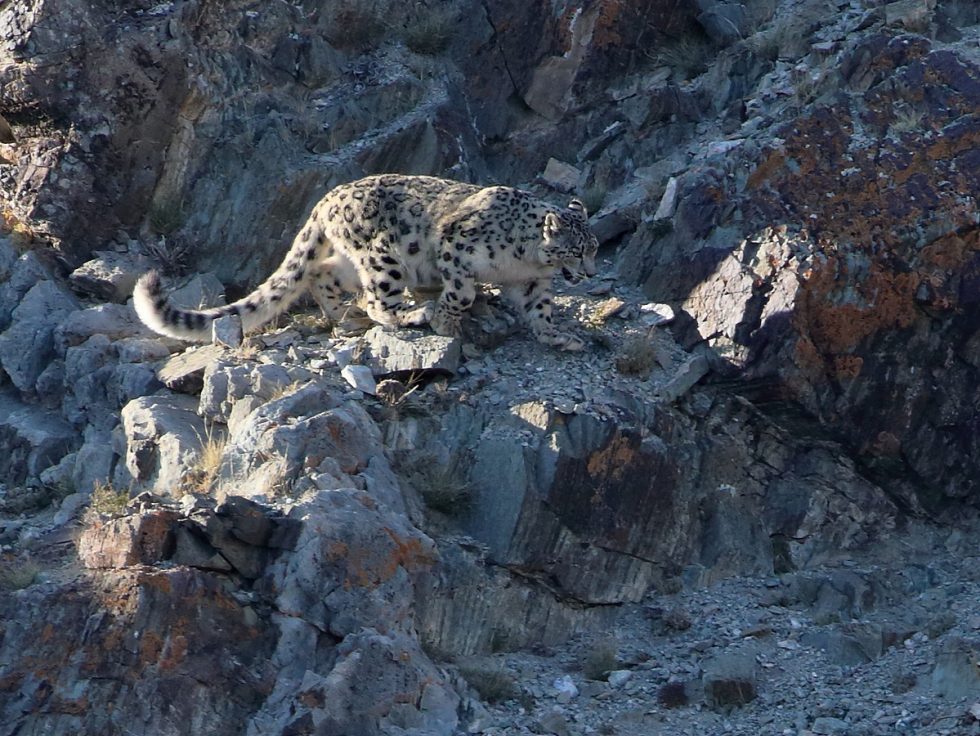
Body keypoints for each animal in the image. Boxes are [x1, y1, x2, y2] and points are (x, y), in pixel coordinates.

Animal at [133, 173, 599, 351]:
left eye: (595, 248)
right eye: (578, 250)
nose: (590, 273)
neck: (526, 262)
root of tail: (326, 199)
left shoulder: (530, 282)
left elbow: (540, 309)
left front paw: (557, 337)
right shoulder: (455, 246)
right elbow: (462, 292)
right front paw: (447, 321)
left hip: (351, 261)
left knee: (321, 274)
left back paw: (342, 315)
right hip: (385, 259)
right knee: (379, 301)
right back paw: (411, 315)